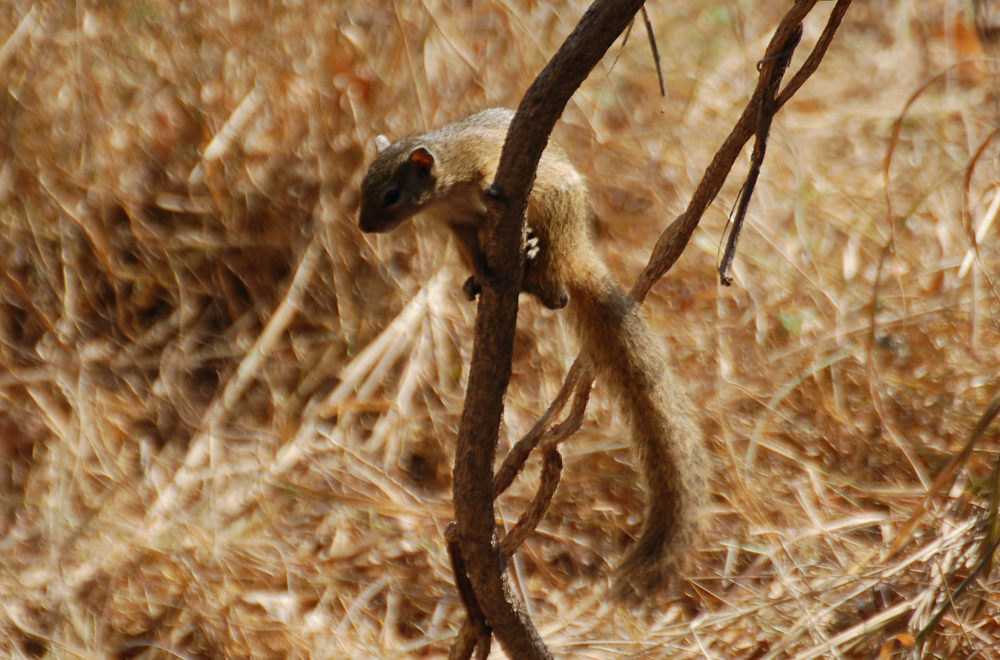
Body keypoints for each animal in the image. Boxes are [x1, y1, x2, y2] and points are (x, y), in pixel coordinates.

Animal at [360, 108, 712, 600]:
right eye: (363, 187)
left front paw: (493, 192)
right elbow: (472, 251)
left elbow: (491, 173)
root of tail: (579, 250)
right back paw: (487, 280)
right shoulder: (458, 228)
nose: (363, 226)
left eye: (391, 194)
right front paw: (484, 275)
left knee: (557, 289)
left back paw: (533, 257)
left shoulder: (479, 161)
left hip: (559, 212)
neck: (445, 193)